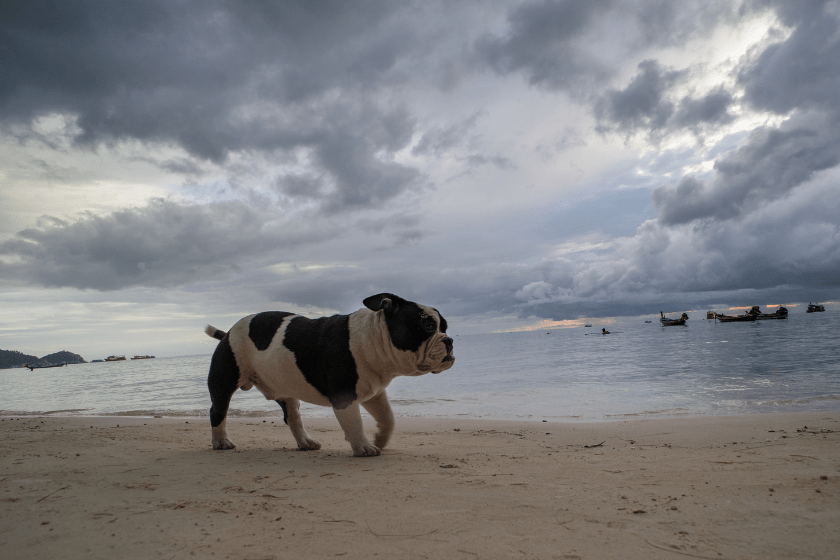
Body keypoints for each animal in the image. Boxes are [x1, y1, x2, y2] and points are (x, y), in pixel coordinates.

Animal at [203, 294, 452, 456]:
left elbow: (388, 418)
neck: (373, 338)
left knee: (292, 416)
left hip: (285, 389)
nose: (449, 340)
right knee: (218, 411)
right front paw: (363, 447)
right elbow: (354, 422)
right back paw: (221, 441)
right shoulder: (344, 396)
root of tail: (227, 333)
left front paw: (380, 439)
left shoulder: (374, 393)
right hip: (224, 381)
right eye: (428, 326)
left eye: (445, 327)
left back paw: (305, 442)